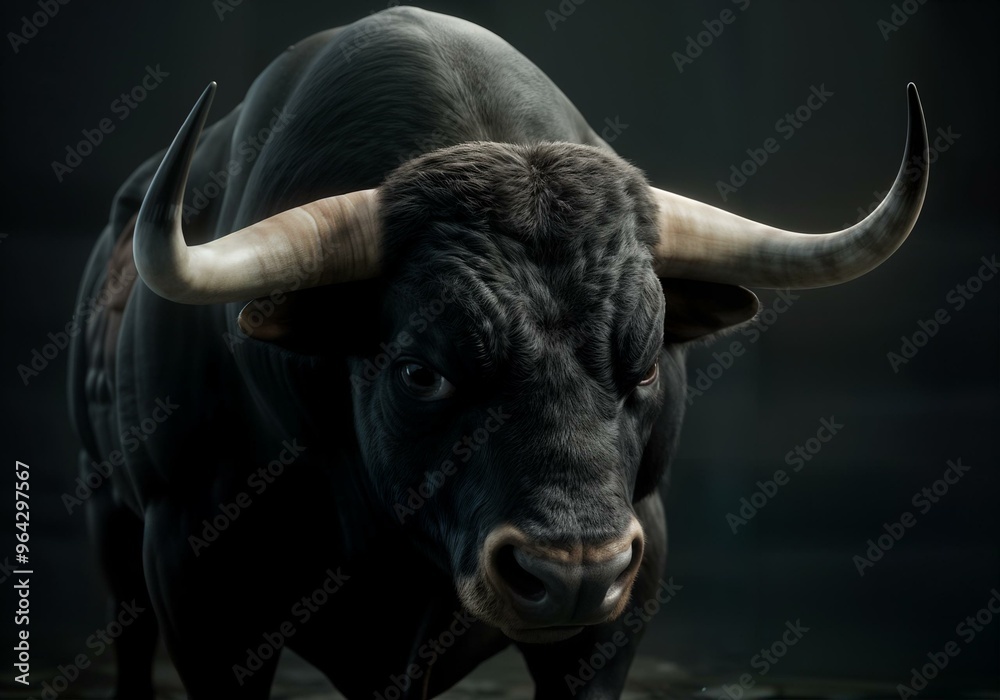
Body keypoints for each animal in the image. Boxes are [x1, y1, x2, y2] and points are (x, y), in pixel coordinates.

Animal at [67, 6, 928, 699]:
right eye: (421, 371)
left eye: (646, 363)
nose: (575, 572)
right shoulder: (193, 573)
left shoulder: (627, 589)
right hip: (112, 527)